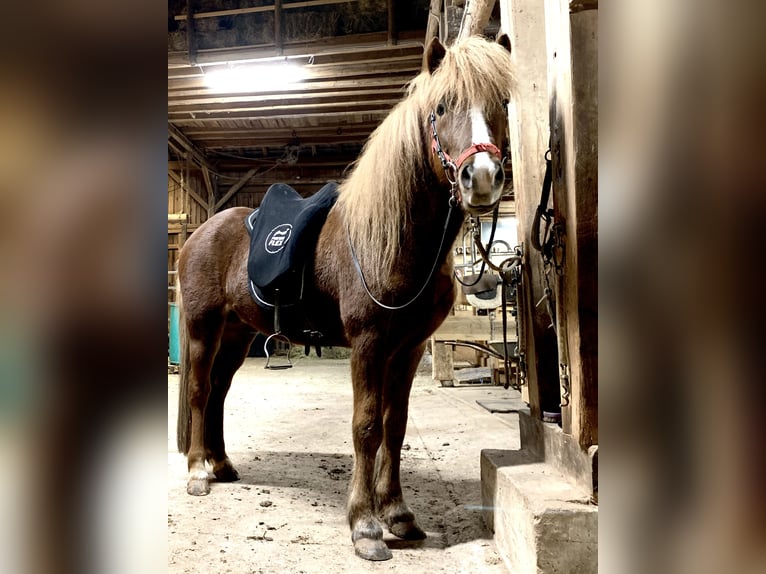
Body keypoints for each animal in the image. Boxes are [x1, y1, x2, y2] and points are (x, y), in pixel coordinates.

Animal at [178, 36, 516, 564]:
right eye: (442, 107)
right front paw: (366, 525)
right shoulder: (368, 343)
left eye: (502, 102)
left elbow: (396, 426)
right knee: (197, 390)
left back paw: (222, 464)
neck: (391, 238)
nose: (481, 178)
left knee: (217, 392)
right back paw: (197, 472)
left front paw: (398, 514)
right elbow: (366, 427)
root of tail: (200, 231)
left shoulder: (409, 348)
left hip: (236, 335)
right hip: (201, 328)